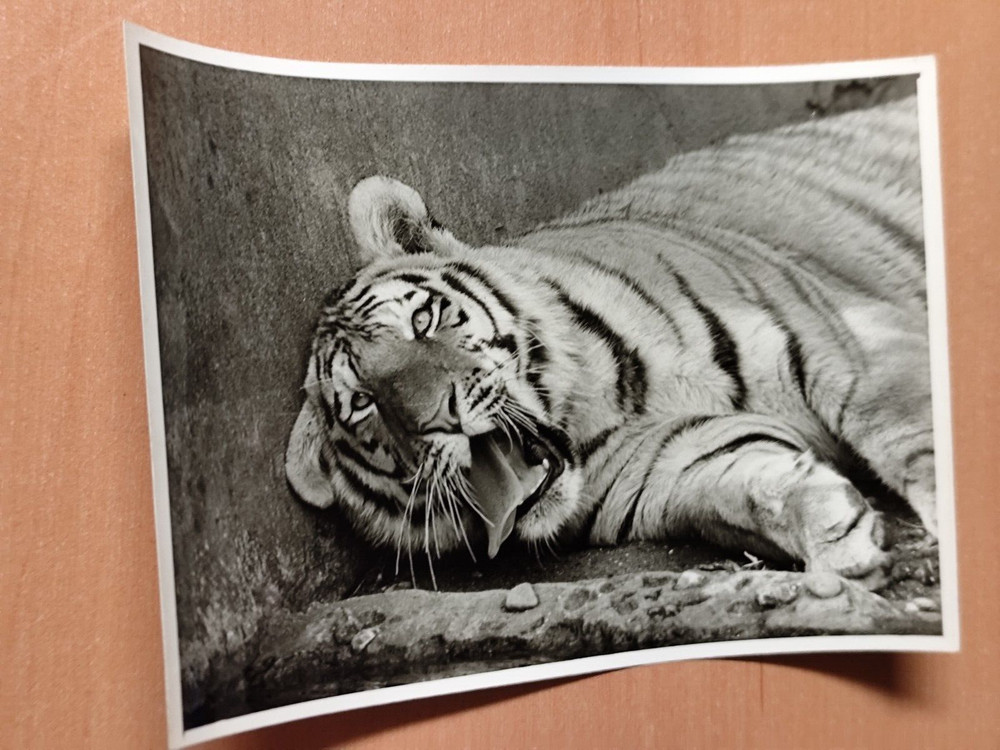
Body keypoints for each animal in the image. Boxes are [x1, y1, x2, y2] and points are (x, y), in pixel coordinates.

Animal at [286, 95, 936, 590]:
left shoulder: (853, 348)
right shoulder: (674, 461)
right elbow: (751, 484)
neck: (596, 405)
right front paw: (835, 534)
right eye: (364, 404)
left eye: (421, 321)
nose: (437, 418)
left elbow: (915, 440)